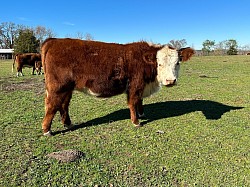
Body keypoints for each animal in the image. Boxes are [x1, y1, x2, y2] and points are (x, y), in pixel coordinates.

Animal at [41, 38, 194, 136]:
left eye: (177, 63)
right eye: (159, 64)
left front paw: (142, 114)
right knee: (52, 105)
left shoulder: (140, 86)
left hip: (67, 89)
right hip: (58, 87)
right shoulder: (135, 85)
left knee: (64, 105)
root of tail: (53, 40)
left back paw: (68, 123)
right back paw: (47, 130)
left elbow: (140, 101)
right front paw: (136, 121)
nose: (170, 80)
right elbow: (133, 102)